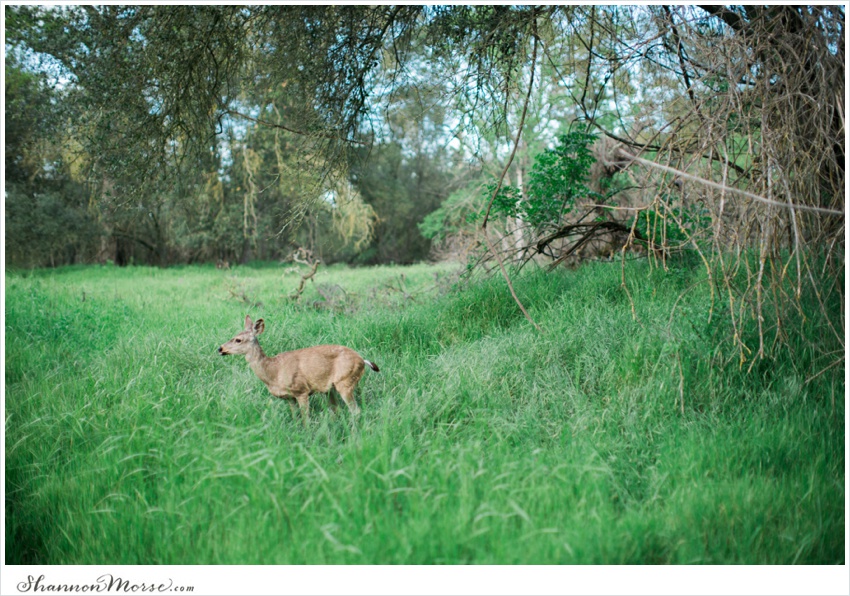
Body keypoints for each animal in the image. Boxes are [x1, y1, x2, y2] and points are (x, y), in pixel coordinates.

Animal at [219, 314, 378, 422]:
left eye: (238, 340)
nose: (220, 348)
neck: (274, 372)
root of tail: (362, 360)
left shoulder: (301, 390)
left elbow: (305, 419)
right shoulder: (289, 397)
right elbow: (295, 418)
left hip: (345, 380)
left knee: (355, 411)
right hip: (330, 388)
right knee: (336, 409)